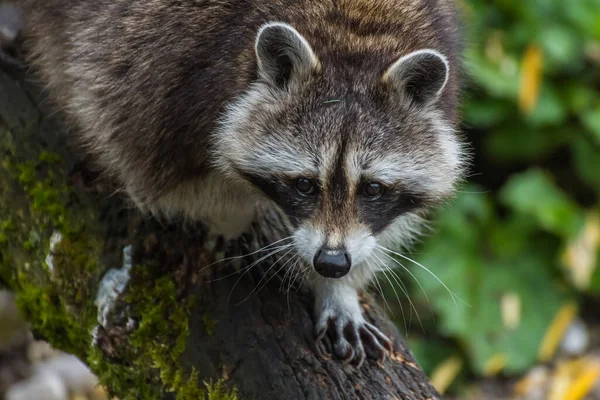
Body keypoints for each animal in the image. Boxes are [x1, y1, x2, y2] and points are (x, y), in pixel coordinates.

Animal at [21, 0, 466, 368]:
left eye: (373, 188)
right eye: (304, 185)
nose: (331, 263)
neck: (352, 36)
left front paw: (339, 288)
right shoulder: (154, 68)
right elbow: (145, 170)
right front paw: (229, 215)